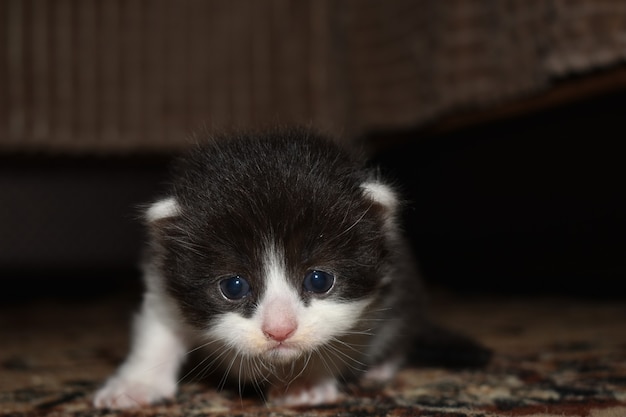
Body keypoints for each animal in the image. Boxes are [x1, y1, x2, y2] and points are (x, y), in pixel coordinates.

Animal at [92, 128, 428, 408]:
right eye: (234, 286)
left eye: (319, 280)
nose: (279, 330)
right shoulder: (163, 276)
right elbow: (158, 329)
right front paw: (135, 385)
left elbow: (342, 339)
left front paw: (305, 382)